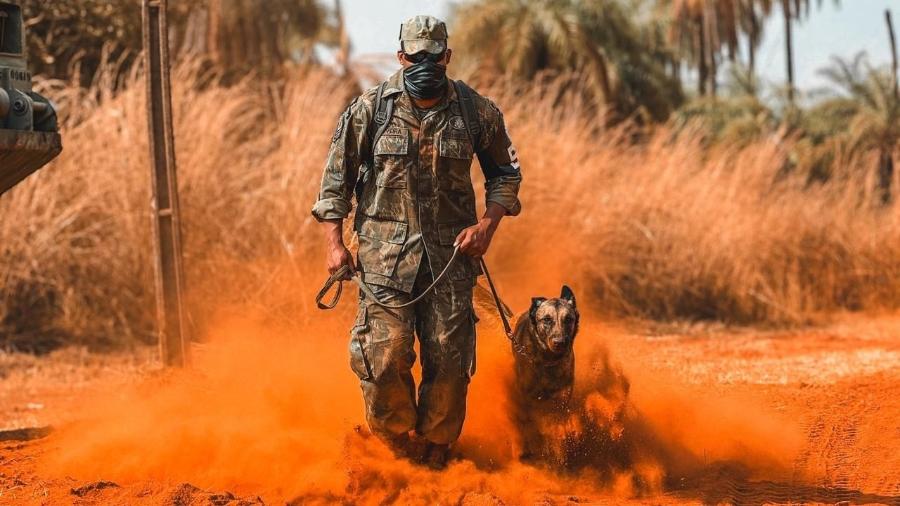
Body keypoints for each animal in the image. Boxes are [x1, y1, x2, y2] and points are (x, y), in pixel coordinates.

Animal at [510, 284, 580, 466]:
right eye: (547, 319)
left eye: (568, 319)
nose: (559, 343)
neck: (548, 362)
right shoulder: (526, 399)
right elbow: (528, 424)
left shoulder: (561, 401)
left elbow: (557, 427)